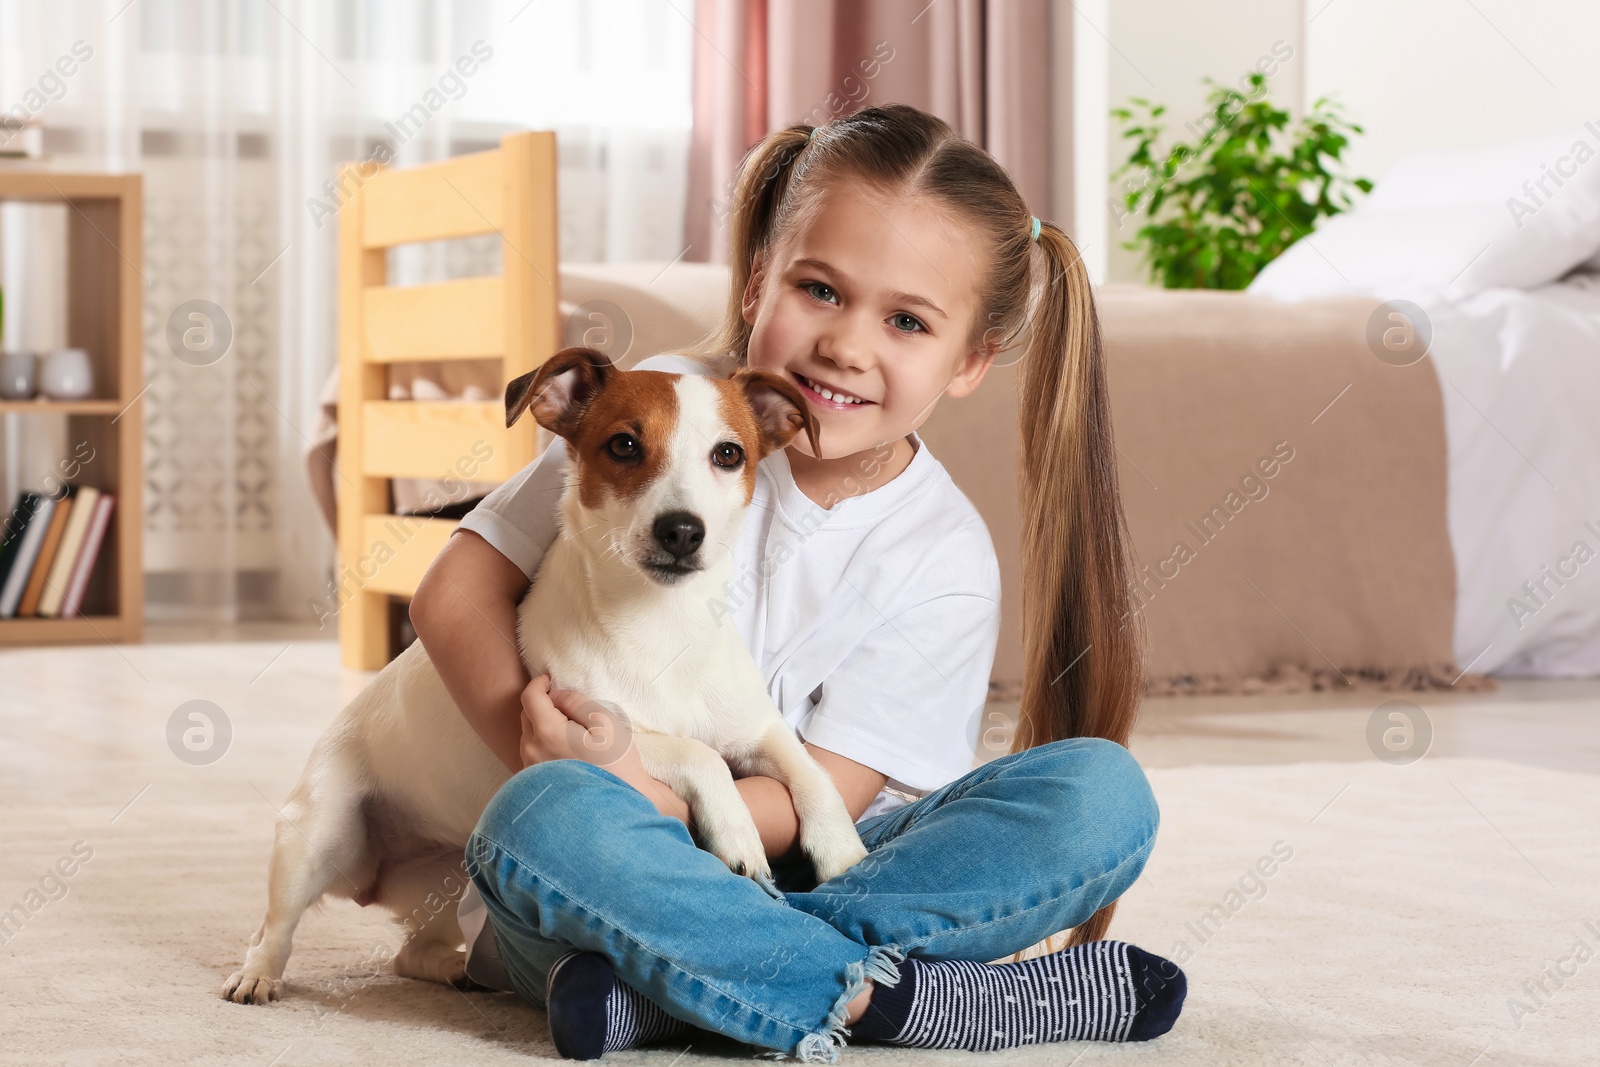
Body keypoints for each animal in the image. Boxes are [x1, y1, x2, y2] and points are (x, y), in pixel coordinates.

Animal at [224, 348, 870, 1004]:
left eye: (729, 454)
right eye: (624, 445)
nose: (682, 531)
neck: (663, 624)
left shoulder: (757, 730)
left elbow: (811, 773)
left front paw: (844, 853)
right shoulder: (594, 729)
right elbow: (699, 753)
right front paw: (738, 834)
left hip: (443, 885)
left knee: (410, 953)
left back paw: (454, 969)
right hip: (317, 833)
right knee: (275, 928)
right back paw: (256, 975)